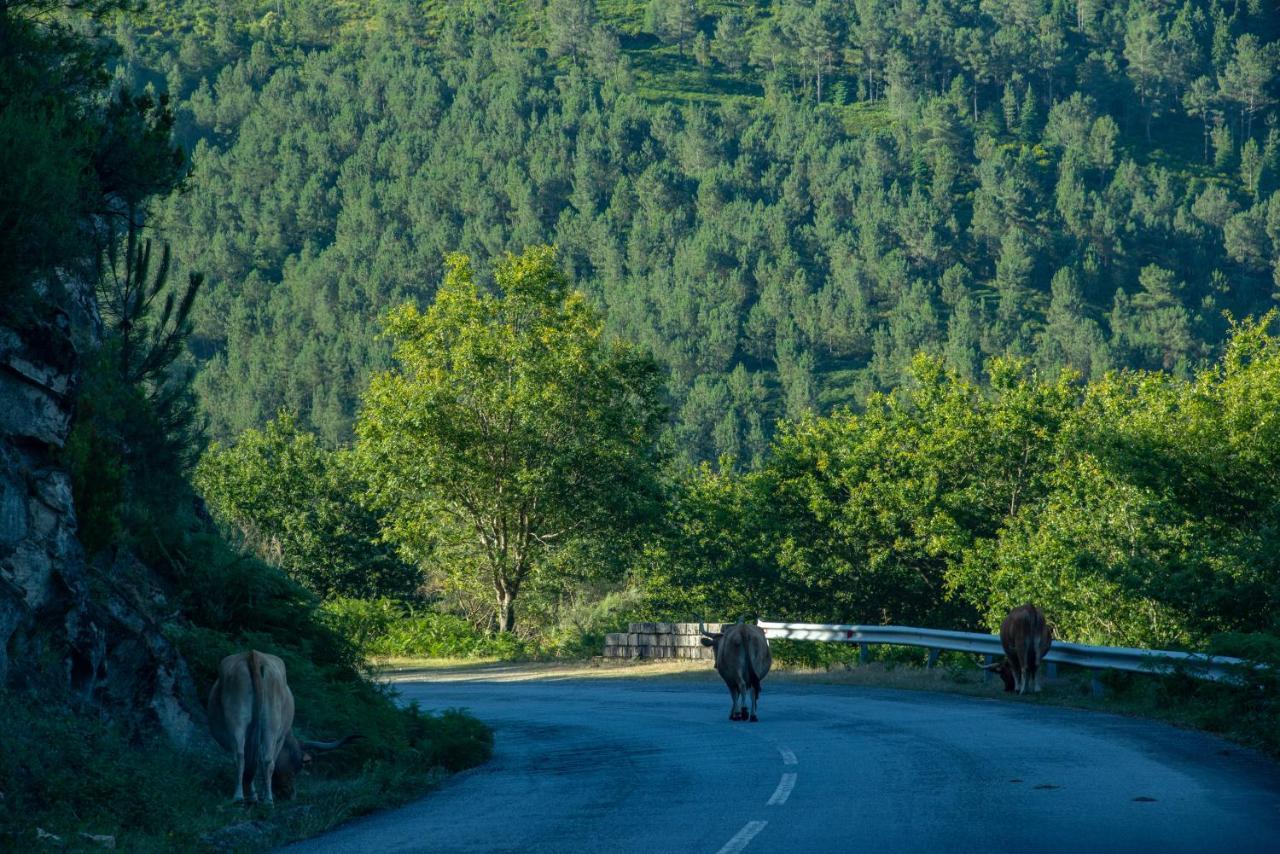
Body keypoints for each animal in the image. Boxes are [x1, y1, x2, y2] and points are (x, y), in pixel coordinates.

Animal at [206, 650, 358, 804]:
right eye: (297, 766)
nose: (289, 794)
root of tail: (253, 655)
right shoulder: (279, 739)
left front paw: (251, 793)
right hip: (271, 725)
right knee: (267, 760)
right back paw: (267, 800)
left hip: (237, 721)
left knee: (240, 756)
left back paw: (238, 796)